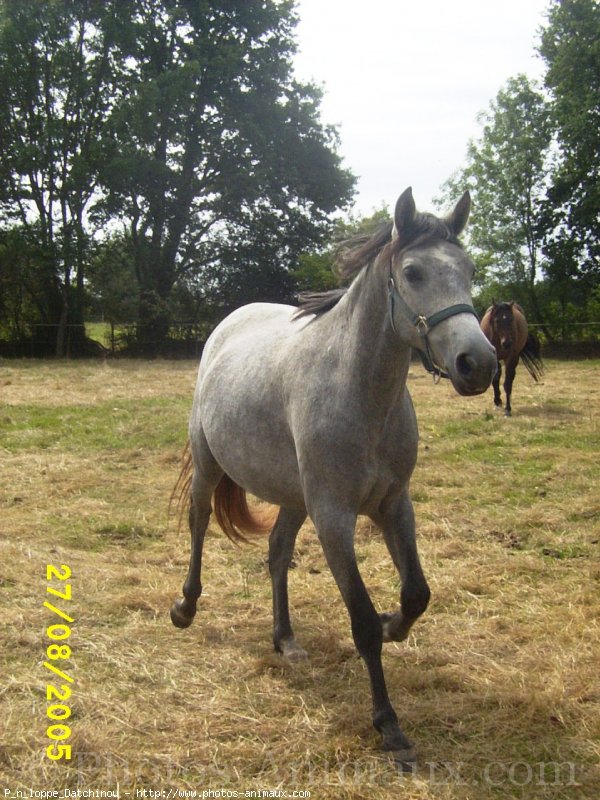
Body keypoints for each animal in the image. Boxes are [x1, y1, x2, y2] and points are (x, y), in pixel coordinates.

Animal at [170, 189, 496, 768]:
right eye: (412, 272)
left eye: (469, 270)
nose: (477, 363)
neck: (358, 389)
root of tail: (230, 322)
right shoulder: (334, 518)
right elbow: (361, 620)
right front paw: (389, 725)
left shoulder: (394, 505)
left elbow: (417, 594)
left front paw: (394, 625)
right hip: (211, 466)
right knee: (199, 523)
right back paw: (185, 607)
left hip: (295, 498)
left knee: (277, 552)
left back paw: (285, 639)